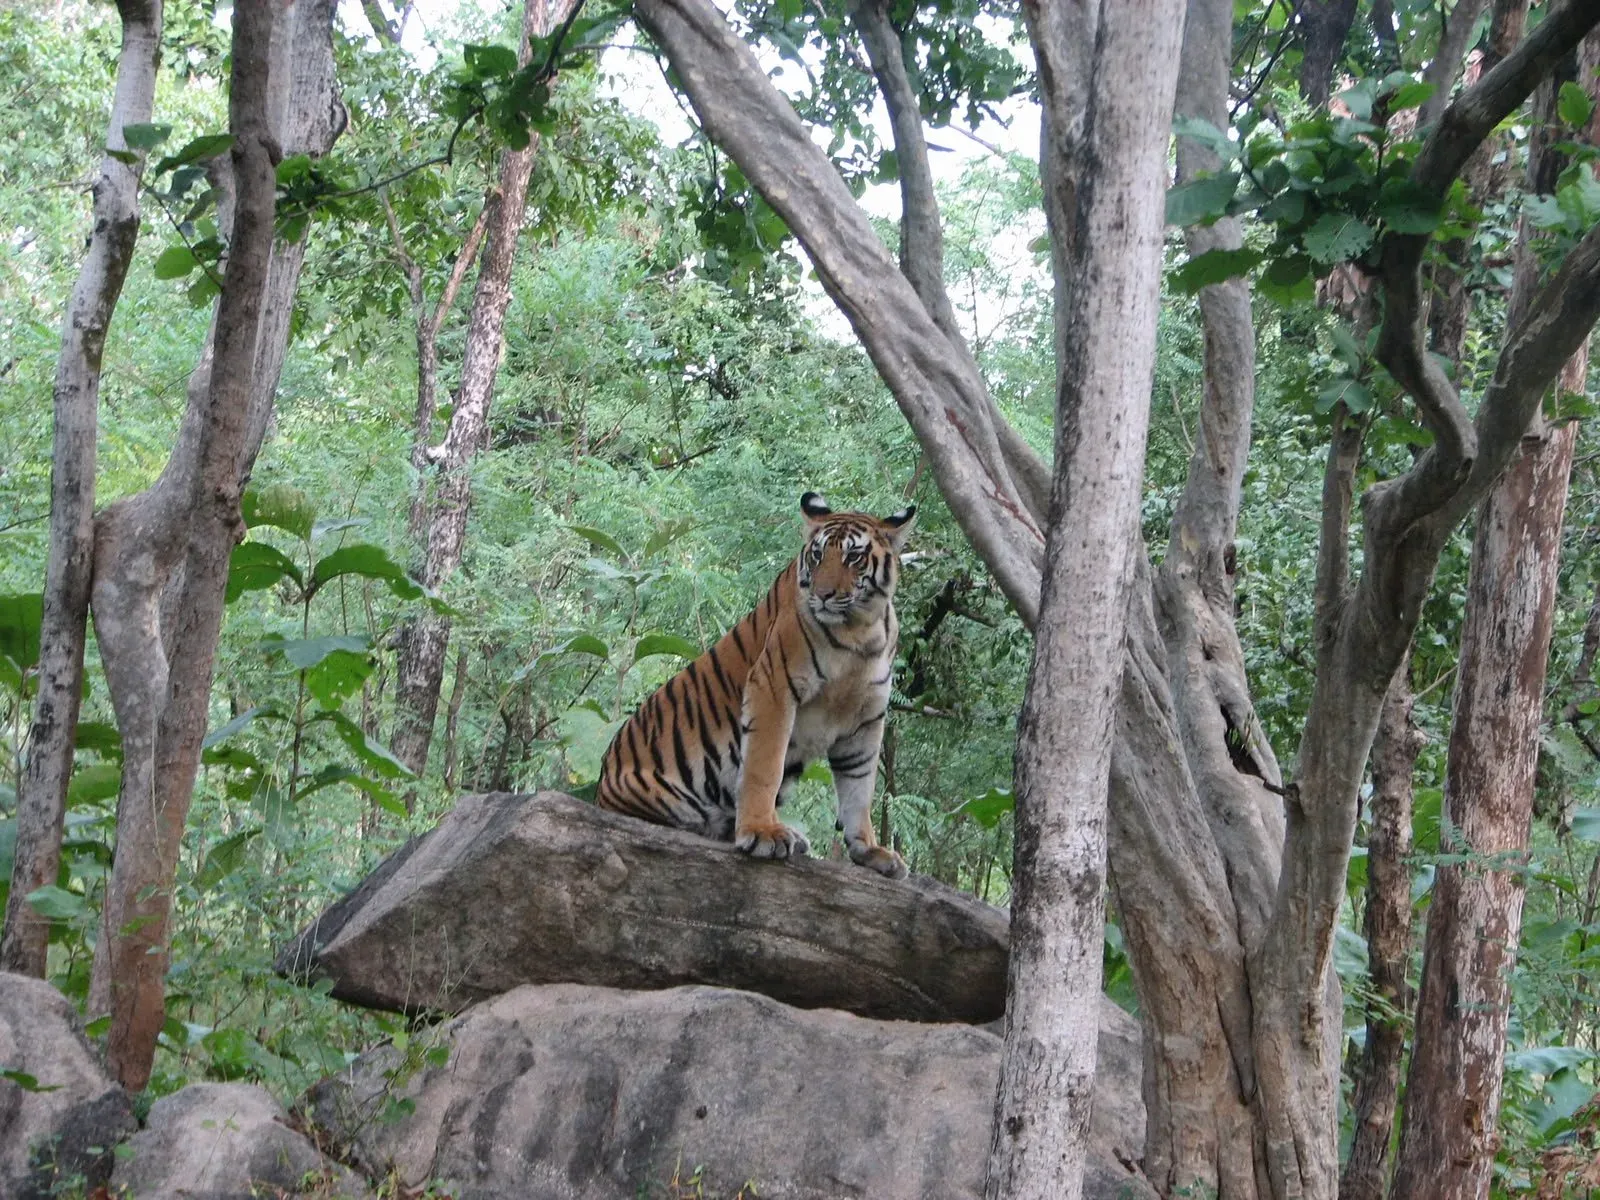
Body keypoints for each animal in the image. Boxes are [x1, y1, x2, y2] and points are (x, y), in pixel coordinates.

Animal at [595, 492, 915, 879]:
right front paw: (762, 832)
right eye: (817, 555)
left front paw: (869, 850)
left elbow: (859, 788)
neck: (859, 631)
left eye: (854, 557)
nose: (823, 594)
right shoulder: (774, 686)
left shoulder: (866, 716)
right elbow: (764, 766)